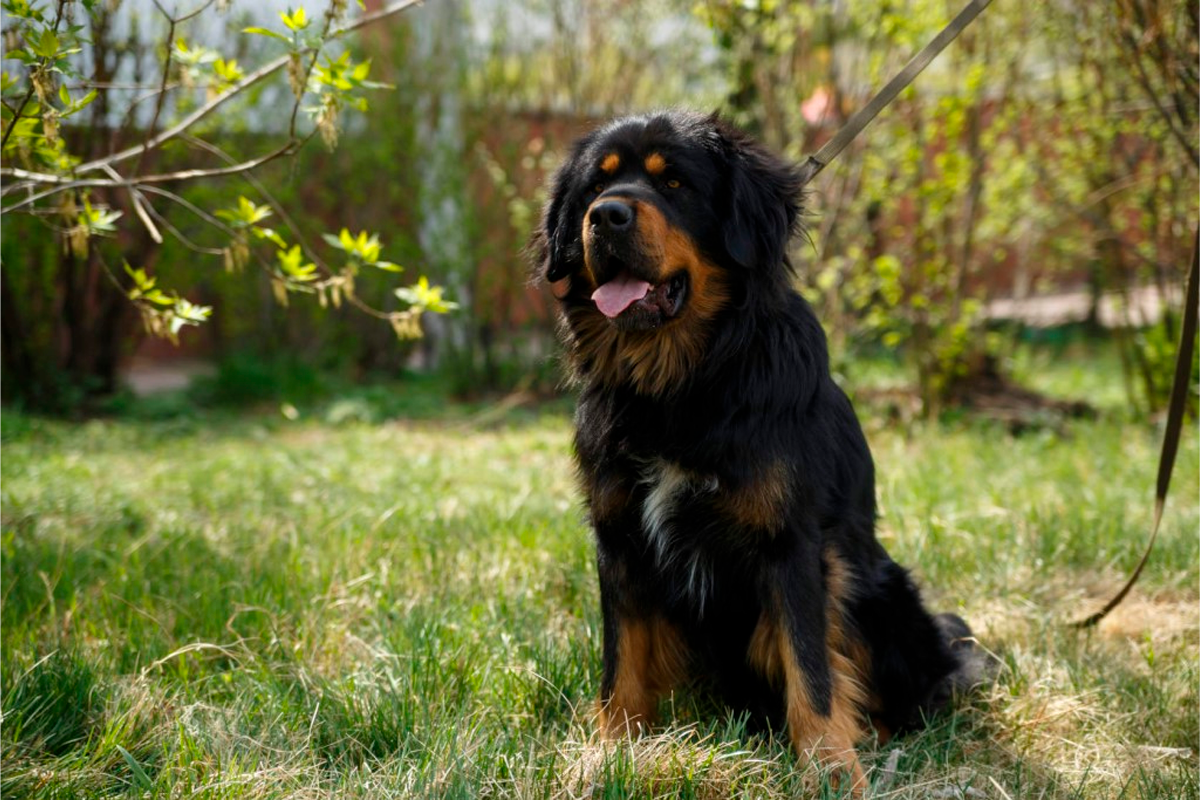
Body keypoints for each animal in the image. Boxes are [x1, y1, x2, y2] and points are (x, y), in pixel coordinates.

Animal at [537, 112, 984, 796]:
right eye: (595, 187)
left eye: (674, 183)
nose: (606, 216)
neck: (680, 385)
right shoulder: (618, 536)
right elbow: (623, 661)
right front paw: (609, 751)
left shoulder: (791, 542)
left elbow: (812, 669)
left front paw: (830, 767)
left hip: (875, 589)